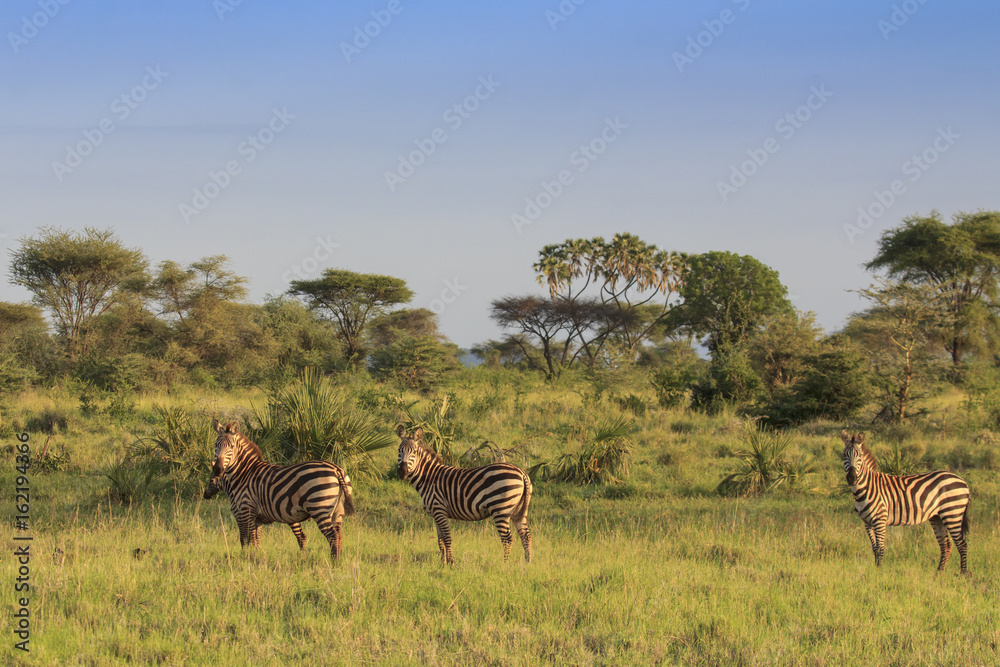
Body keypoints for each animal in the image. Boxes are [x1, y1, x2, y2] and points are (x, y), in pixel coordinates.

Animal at [204, 419, 355, 559]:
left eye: (231, 446)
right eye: (216, 445)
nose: (217, 469)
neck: (243, 474)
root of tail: (336, 469)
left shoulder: (245, 511)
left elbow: (246, 539)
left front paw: (247, 559)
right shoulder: (256, 517)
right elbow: (255, 540)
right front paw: (255, 557)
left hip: (320, 507)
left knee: (332, 536)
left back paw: (333, 563)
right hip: (337, 511)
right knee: (339, 535)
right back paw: (337, 562)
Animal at [396, 426, 533, 565]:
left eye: (414, 452)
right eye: (399, 450)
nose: (402, 472)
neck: (429, 478)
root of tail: (522, 473)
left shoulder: (439, 509)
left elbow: (447, 538)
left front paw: (451, 563)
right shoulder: (435, 513)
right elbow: (440, 540)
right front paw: (442, 563)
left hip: (500, 509)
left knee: (507, 539)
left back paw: (504, 564)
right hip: (519, 511)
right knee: (525, 536)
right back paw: (528, 562)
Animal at [841, 430, 970, 574]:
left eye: (860, 456)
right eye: (844, 455)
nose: (851, 478)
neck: (867, 488)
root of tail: (963, 481)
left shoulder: (880, 520)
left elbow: (880, 548)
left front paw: (879, 572)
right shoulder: (867, 522)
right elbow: (874, 548)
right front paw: (875, 570)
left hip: (952, 513)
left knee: (962, 544)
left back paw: (963, 574)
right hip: (937, 517)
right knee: (946, 545)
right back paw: (938, 573)